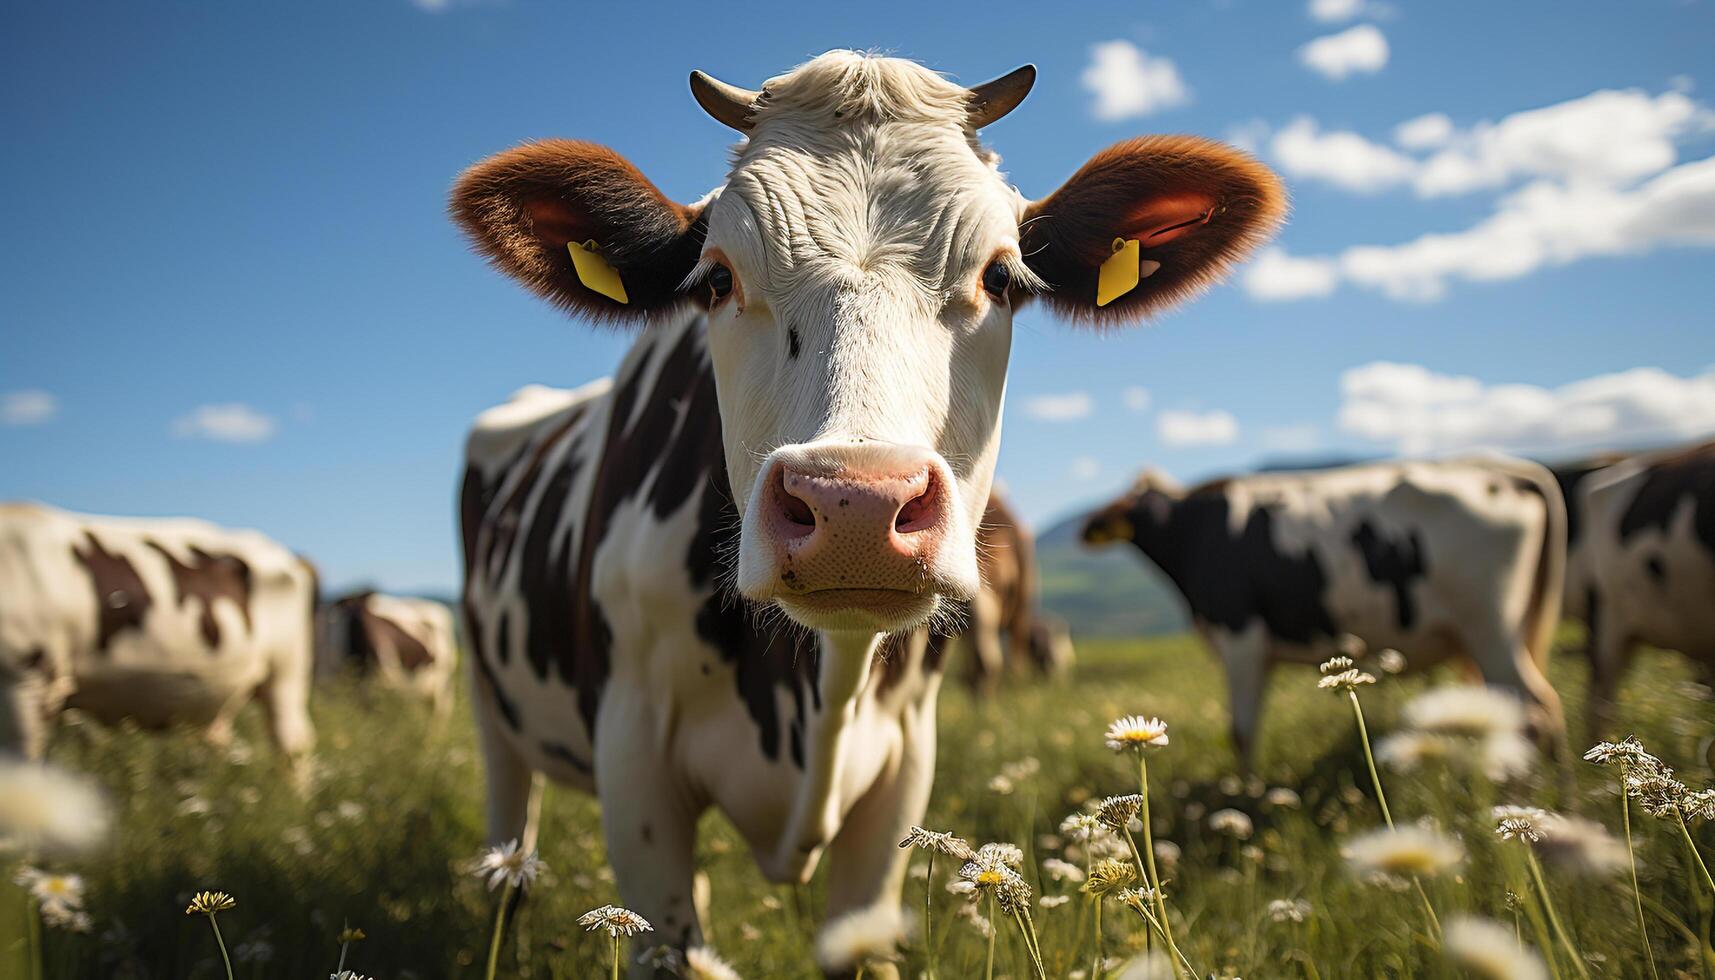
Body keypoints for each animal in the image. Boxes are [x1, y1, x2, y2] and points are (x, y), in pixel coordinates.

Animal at [1083, 459, 1570, 765]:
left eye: (1143, 514)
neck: (1191, 532)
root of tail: (1511, 471)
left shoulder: (1241, 636)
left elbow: (1241, 733)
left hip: (1491, 628)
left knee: (1537, 709)